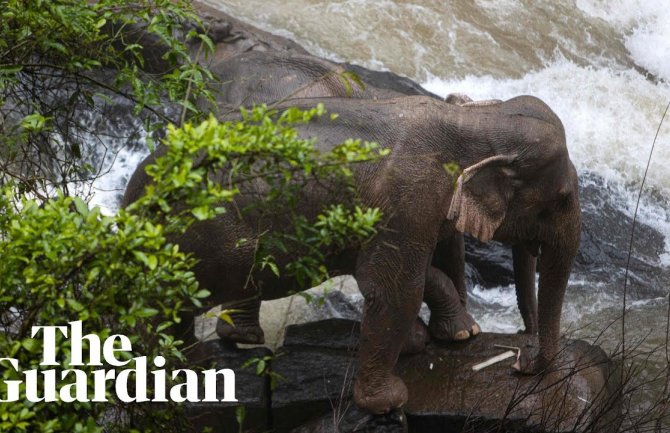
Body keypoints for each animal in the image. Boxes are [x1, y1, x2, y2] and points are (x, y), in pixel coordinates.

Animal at [122, 93, 584, 412]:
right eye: (561, 198)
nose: (520, 362)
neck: (473, 120)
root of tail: (133, 194)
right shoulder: (409, 199)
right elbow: (393, 288)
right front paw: (390, 400)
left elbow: (415, 270)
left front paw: (447, 336)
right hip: (204, 238)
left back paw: (216, 351)